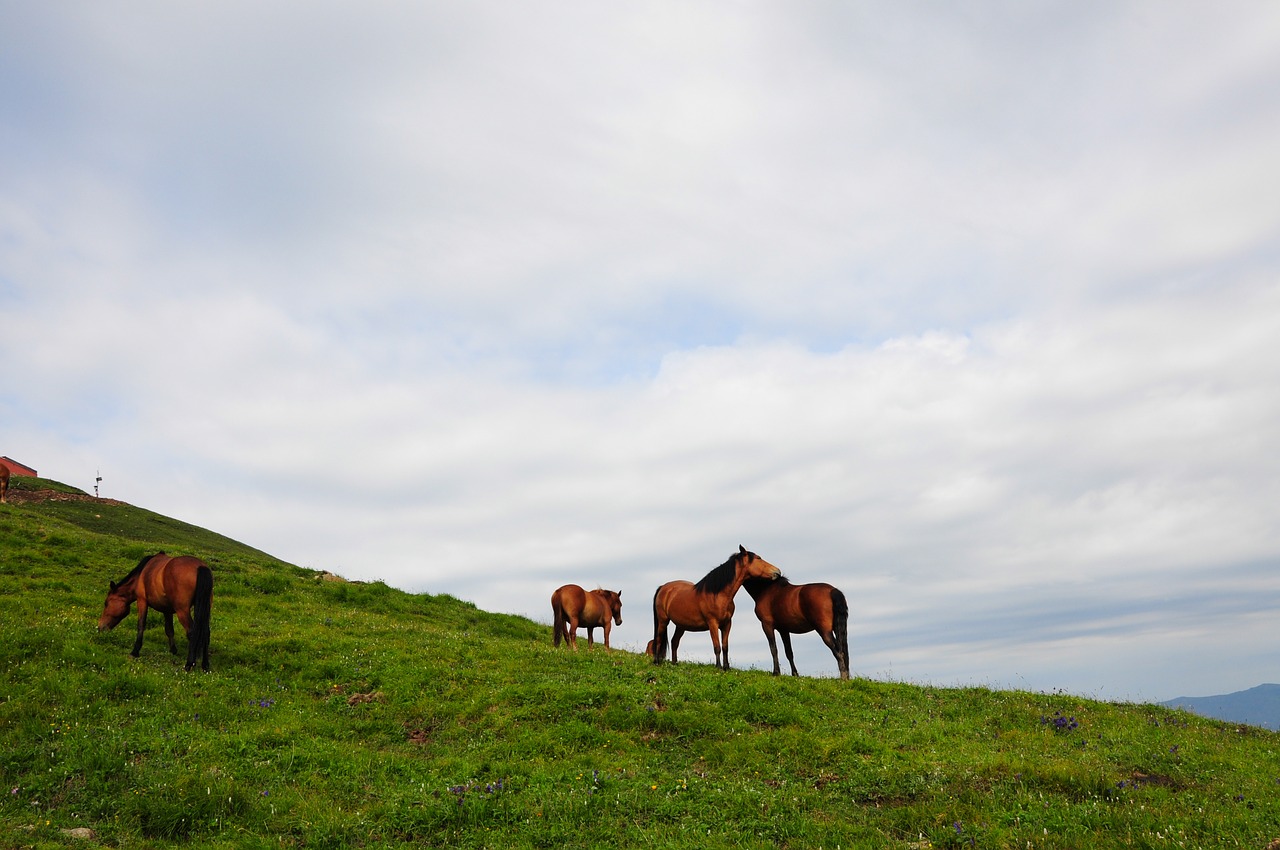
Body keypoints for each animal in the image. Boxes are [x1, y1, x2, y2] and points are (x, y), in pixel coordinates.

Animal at [650, 545, 778, 670]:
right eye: (758, 558)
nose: (777, 571)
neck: (719, 594)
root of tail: (663, 587)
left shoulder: (727, 624)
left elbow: (725, 646)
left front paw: (726, 667)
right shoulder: (712, 623)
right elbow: (717, 646)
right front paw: (719, 667)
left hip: (681, 625)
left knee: (674, 642)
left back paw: (674, 663)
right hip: (663, 621)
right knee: (659, 639)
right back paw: (656, 662)